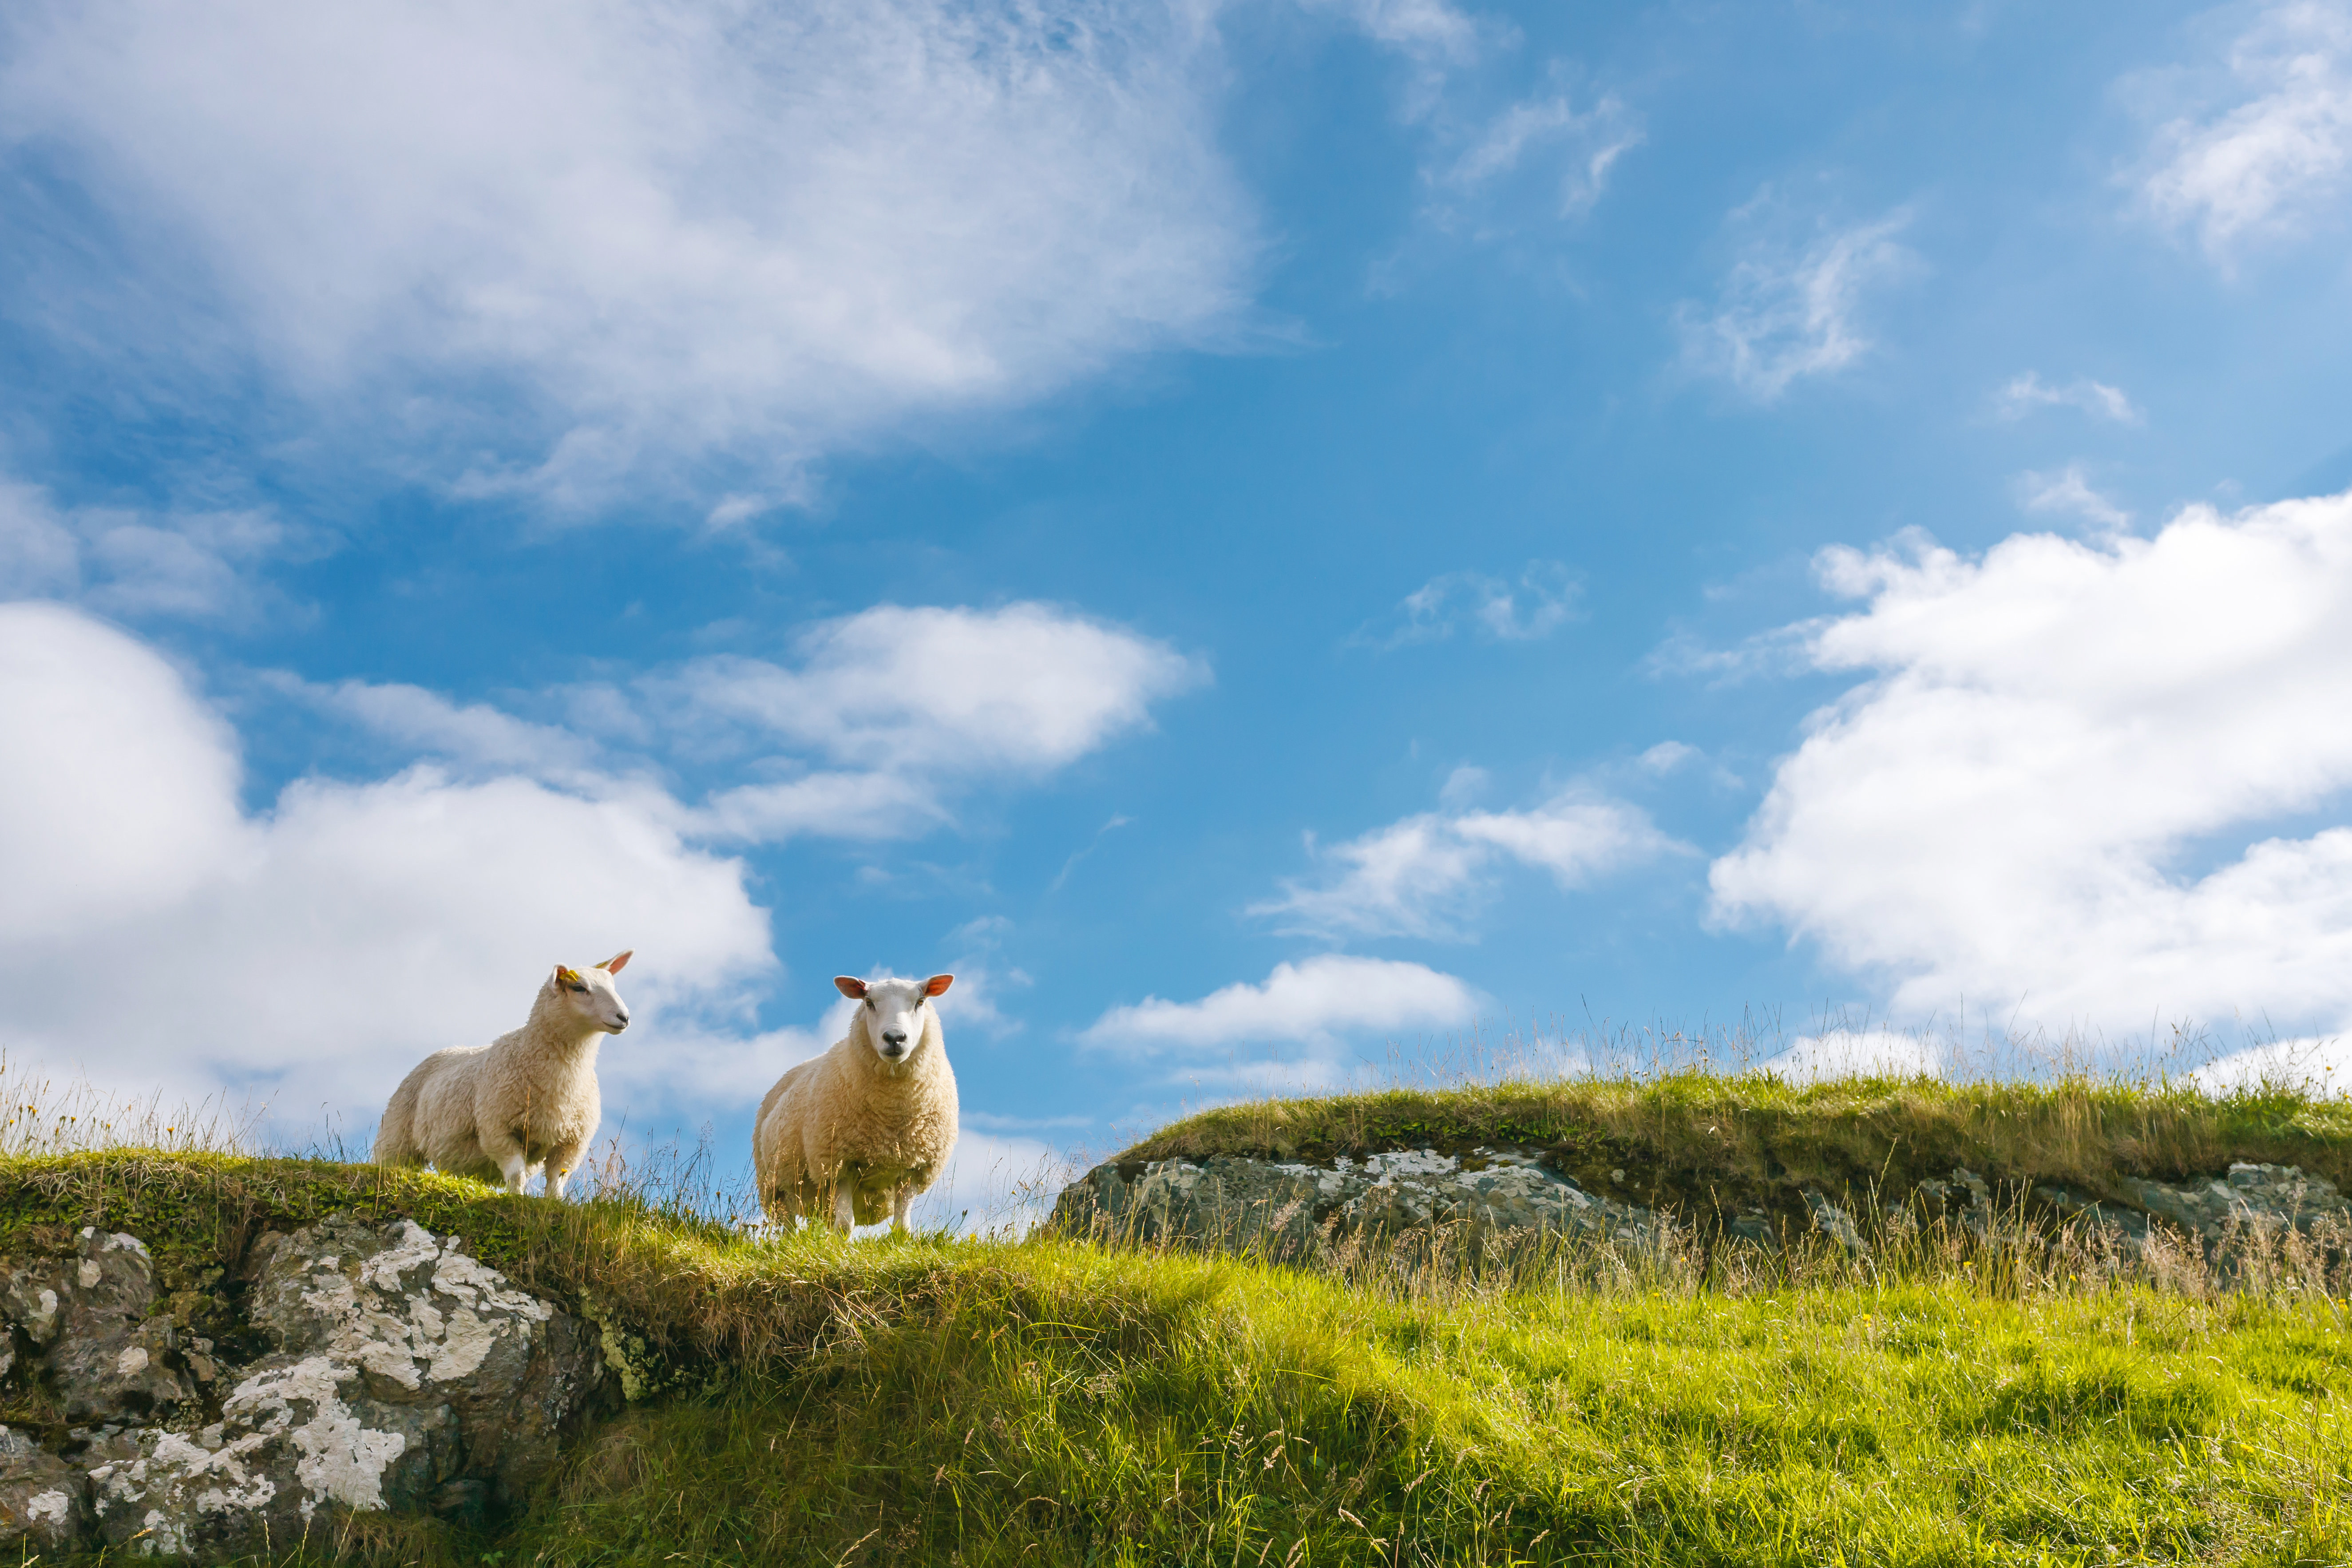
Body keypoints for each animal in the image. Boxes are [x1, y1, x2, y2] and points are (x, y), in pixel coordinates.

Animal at [372, 951, 633, 1199]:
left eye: (613, 985)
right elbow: (517, 1174)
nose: (624, 1018)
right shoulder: (497, 1129)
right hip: (397, 1137)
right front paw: (517, 1199)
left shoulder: (572, 1141)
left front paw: (553, 1203)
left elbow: (556, 1182)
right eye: (579, 988)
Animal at [755, 973, 958, 1234]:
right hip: (777, 1186)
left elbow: (901, 1228)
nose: (895, 1038)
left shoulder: (914, 1167)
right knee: (789, 1226)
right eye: (869, 1002)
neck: (892, 1111)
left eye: (920, 1002)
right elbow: (844, 1225)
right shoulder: (838, 1164)